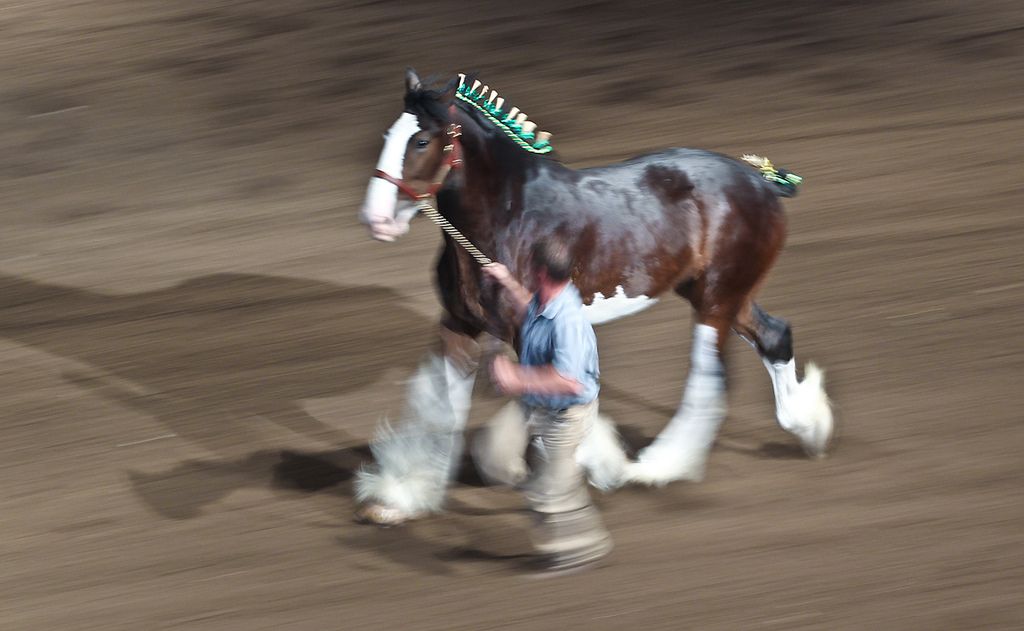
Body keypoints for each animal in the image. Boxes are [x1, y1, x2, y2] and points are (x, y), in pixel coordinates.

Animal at [353, 68, 833, 525]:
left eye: (421, 140)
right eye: (387, 136)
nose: (376, 220)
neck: (508, 218)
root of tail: (760, 179)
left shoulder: (526, 328)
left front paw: (585, 467)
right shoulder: (459, 324)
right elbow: (443, 411)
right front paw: (402, 498)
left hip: (716, 299)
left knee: (707, 377)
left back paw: (656, 467)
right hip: (720, 294)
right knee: (774, 337)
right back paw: (808, 427)